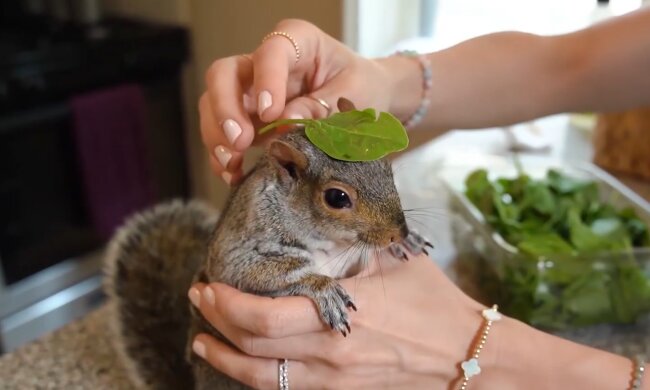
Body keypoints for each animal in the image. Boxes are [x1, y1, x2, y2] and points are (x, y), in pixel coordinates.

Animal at [105, 99, 430, 388]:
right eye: (337, 198)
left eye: (387, 168)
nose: (398, 232)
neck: (332, 243)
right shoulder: (241, 246)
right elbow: (255, 271)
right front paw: (323, 288)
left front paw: (407, 241)